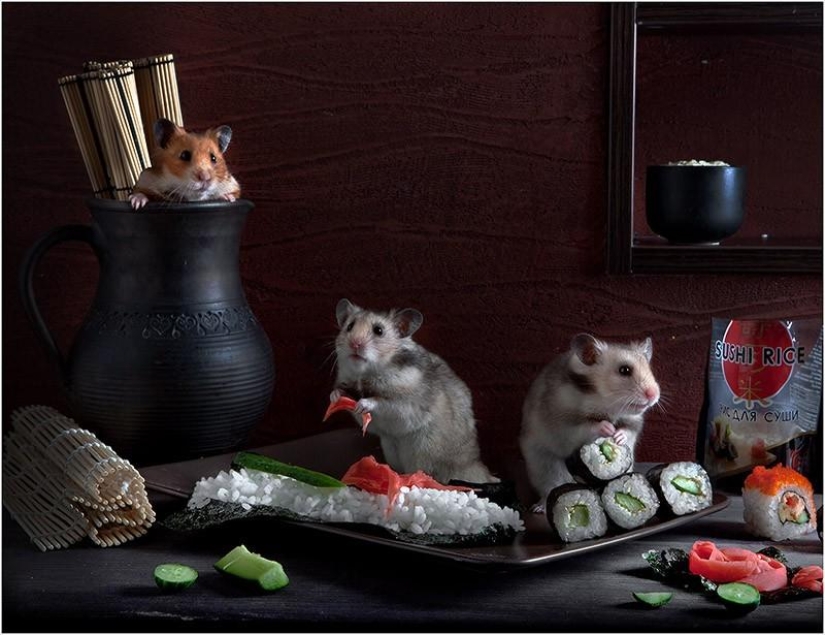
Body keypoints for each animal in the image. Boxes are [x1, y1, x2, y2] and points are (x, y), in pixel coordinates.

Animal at [330, 298, 498, 485]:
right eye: (350, 326)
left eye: (378, 330)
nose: (355, 344)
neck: (366, 374)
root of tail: (478, 470)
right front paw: (335, 396)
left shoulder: (405, 406)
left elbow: (382, 402)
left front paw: (363, 404)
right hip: (391, 448)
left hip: (425, 451)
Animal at [519, 333, 660, 511]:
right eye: (624, 370)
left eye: (649, 369)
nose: (654, 395)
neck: (604, 402)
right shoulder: (564, 425)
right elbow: (586, 426)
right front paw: (608, 428)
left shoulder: (634, 421)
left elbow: (628, 430)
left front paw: (618, 436)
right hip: (544, 464)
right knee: (549, 488)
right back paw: (539, 508)